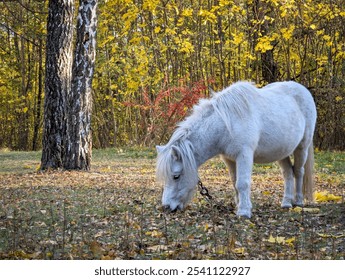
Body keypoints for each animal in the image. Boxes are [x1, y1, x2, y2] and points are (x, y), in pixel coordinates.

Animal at [156, 81, 314, 219]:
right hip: (282, 152)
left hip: (302, 147)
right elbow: (235, 182)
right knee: (288, 173)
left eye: (176, 176)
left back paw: (298, 201)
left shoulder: (244, 155)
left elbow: (242, 183)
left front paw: (244, 212)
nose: (166, 207)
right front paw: (239, 206)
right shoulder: (229, 159)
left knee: (299, 171)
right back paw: (286, 202)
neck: (226, 124)